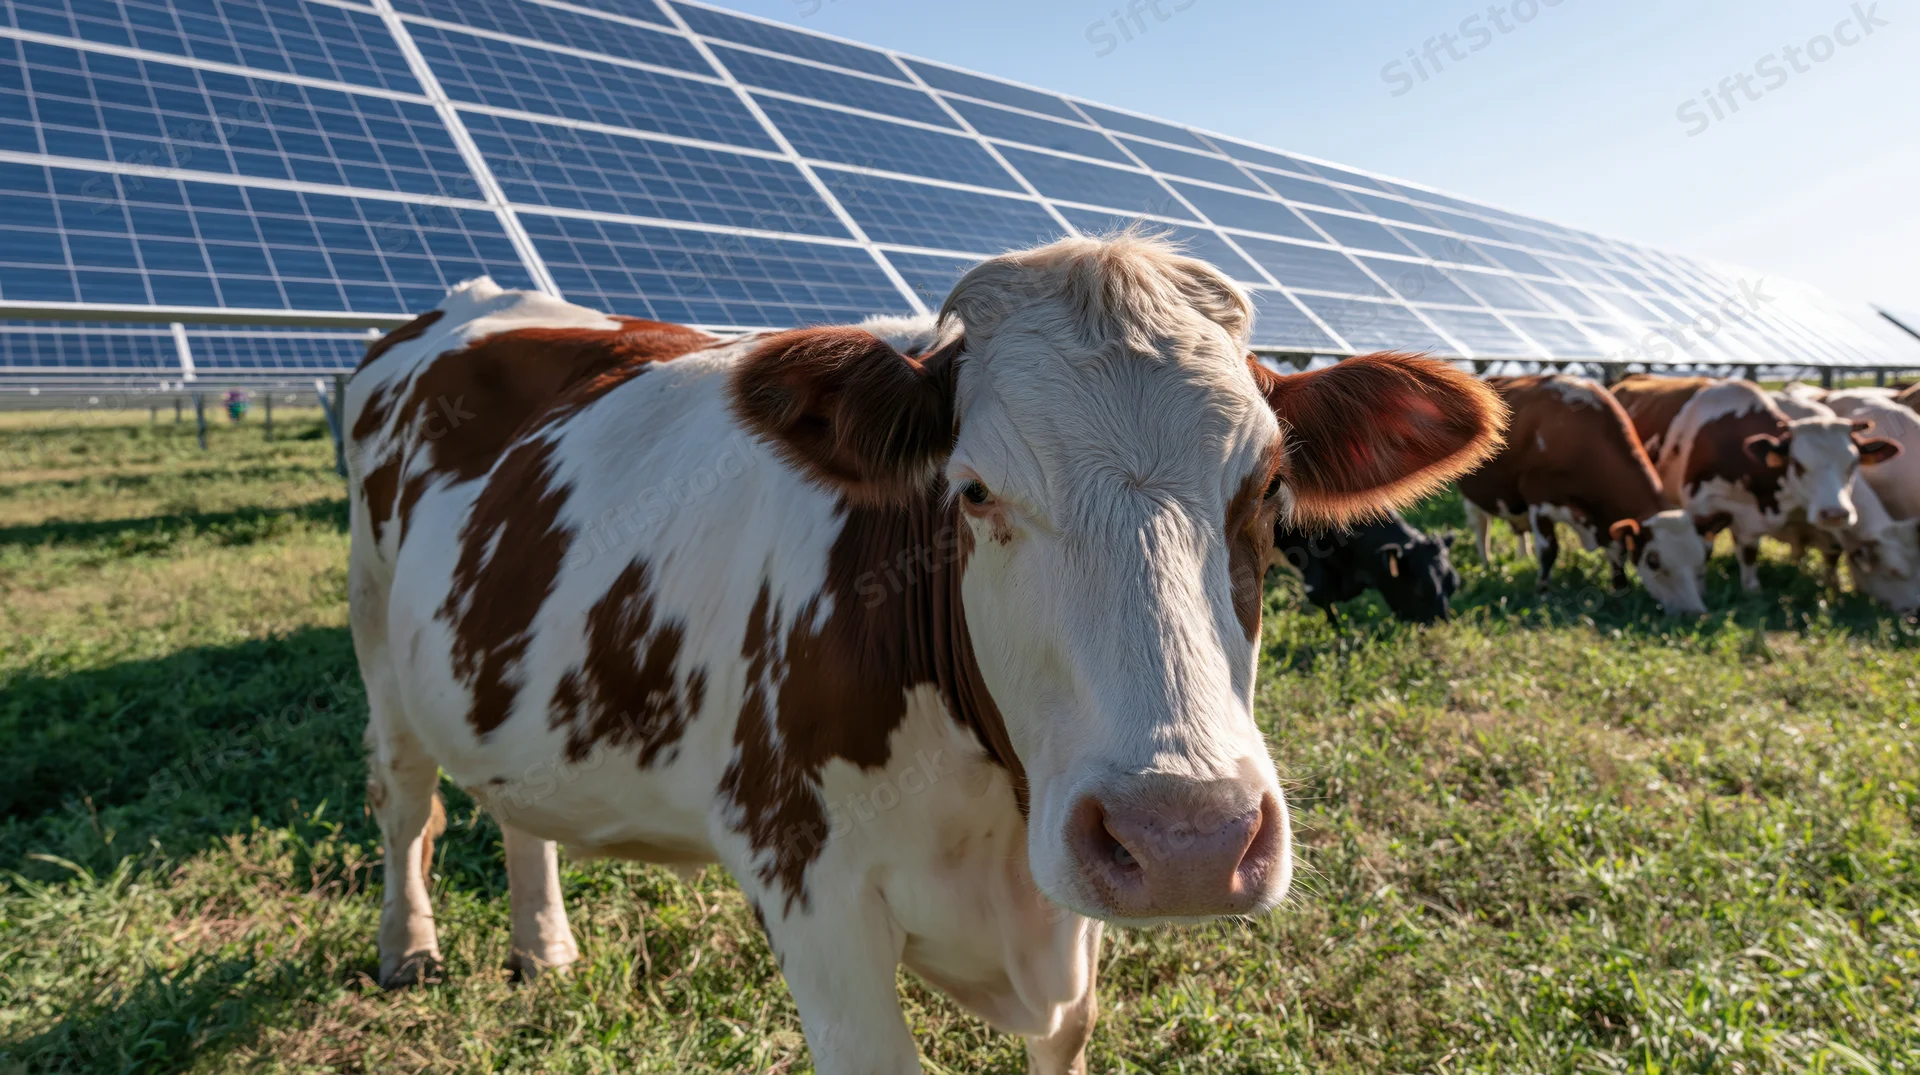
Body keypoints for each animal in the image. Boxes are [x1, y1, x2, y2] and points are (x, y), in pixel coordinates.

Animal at [1457, 374, 1707, 615]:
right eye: (1654, 562)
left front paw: (1620, 587)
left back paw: (1522, 556)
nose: (1694, 612)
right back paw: (1486, 564)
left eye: (1700, 562)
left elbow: (1617, 550)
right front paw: (1543, 591)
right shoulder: (1539, 500)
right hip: (1473, 496)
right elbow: (1549, 550)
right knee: (1481, 527)